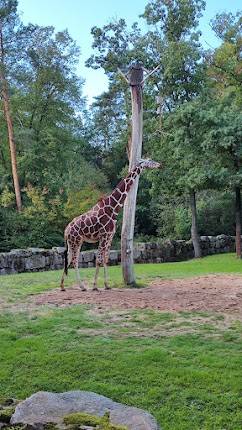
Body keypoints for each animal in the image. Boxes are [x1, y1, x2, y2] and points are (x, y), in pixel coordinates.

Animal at [59, 158, 160, 292]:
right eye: (150, 161)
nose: (159, 164)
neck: (113, 208)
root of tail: (66, 231)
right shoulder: (104, 235)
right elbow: (99, 259)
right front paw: (95, 286)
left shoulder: (109, 236)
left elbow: (105, 259)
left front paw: (107, 285)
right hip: (76, 241)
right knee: (74, 260)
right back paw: (82, 286)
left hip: (74, 242)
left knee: (68, 259)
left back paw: (62, 286)